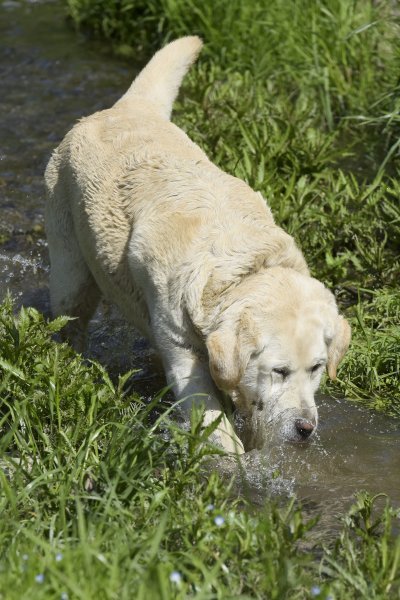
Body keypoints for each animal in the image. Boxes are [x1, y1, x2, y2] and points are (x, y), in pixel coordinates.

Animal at [44, 36, 350, 454]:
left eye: (317, 367)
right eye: (280, 371)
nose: (306, 427)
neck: (240, 269)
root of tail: (125, 107)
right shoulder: (181, 347)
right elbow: (214, 424)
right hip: (69, 268)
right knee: (70, 317)